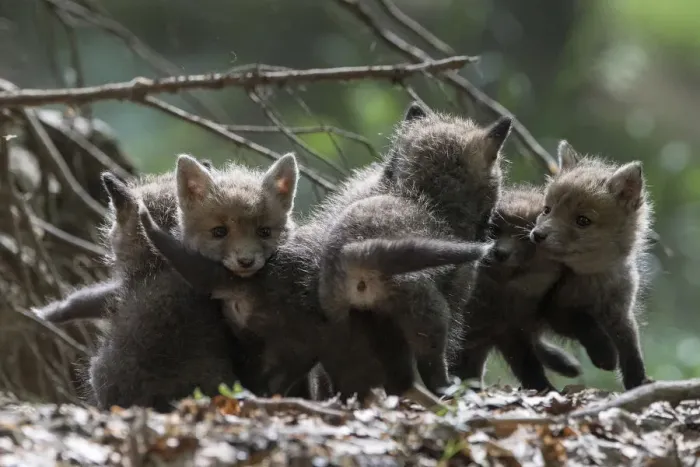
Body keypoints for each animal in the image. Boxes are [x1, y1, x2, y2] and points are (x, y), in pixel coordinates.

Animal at [530, 140, 654, 389]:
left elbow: (632, 352)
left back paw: (563, 363)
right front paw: (605, 356)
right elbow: (584, 322)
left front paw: (638, 384)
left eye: (582, 221)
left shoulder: (620, 313)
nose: (537, 235)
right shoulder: (553, 309)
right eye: (547, 210)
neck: (595, 278)